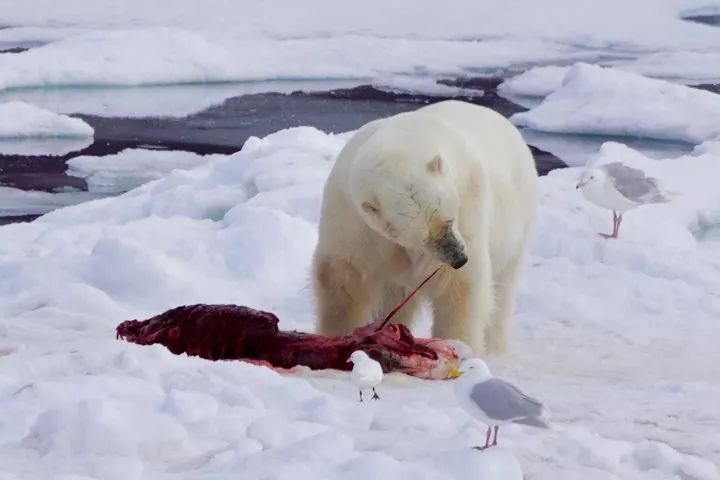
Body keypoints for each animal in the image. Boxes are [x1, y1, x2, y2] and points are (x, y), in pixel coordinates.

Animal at [312, 100, 536, 352]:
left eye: (450, 220)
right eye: (423, 238)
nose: (459, 258)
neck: (403, 138)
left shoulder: (469, 197)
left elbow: (459, 287)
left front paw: (460, 346)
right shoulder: (351, 216)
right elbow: (342, 277)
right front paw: (336, 336)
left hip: (518, 219)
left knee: (503, 288)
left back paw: (494, 347)